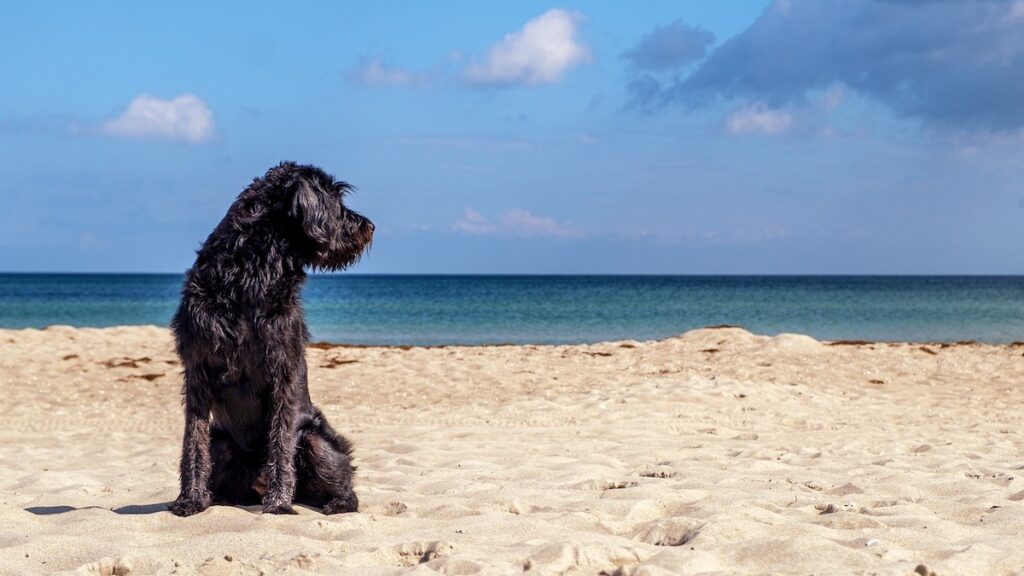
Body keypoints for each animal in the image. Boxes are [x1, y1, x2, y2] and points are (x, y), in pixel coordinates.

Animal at [165, 161, 374, 516]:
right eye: (335, 200)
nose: (369, 227)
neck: (250, 274)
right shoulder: (197, 373)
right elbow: (193, 442)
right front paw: (190, 499)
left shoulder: (282, 371)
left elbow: (281, 441)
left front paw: (278, 503)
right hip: (222, 442)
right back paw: (217, 497)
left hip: (316, 440)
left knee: (345, 485)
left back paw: (335, 501)